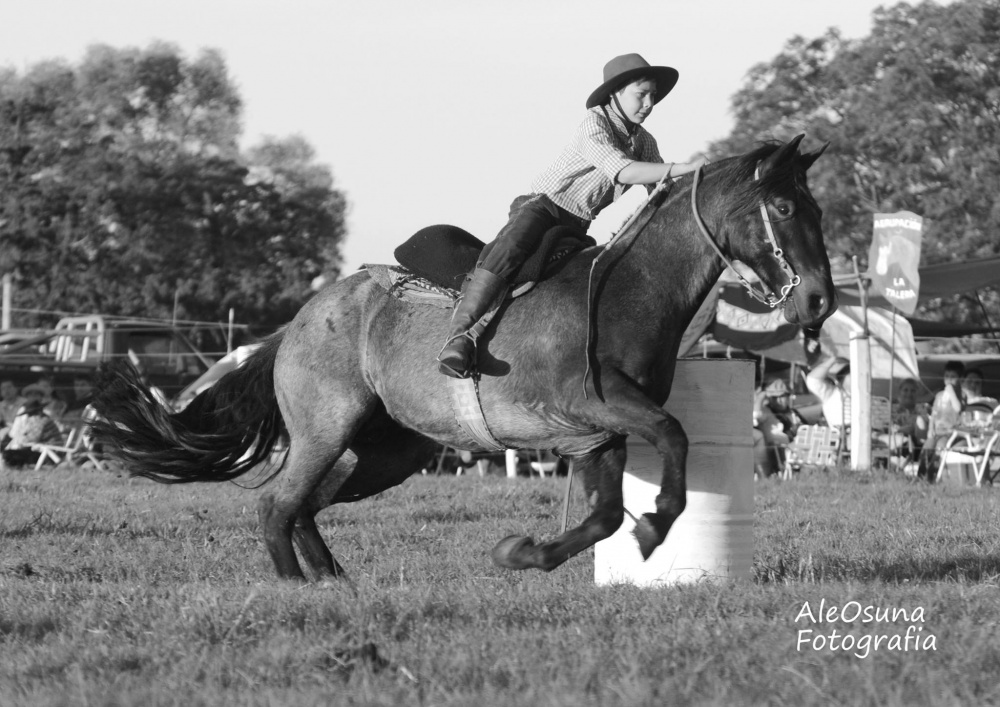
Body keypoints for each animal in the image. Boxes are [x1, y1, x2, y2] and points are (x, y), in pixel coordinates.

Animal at [88, 136, 836, 584]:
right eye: (784, 204)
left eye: (818, 208)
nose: (821, 299)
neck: (630, 291)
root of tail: (294, 324)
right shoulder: (597, 405)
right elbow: (673, 440)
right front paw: (654, 525)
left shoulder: (599, 435)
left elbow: (602, 516)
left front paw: (524, 551)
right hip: (326, 429)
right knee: (278, 503)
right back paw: (297, 586)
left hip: (391, 450)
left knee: (307, 505)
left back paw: (332, 580)